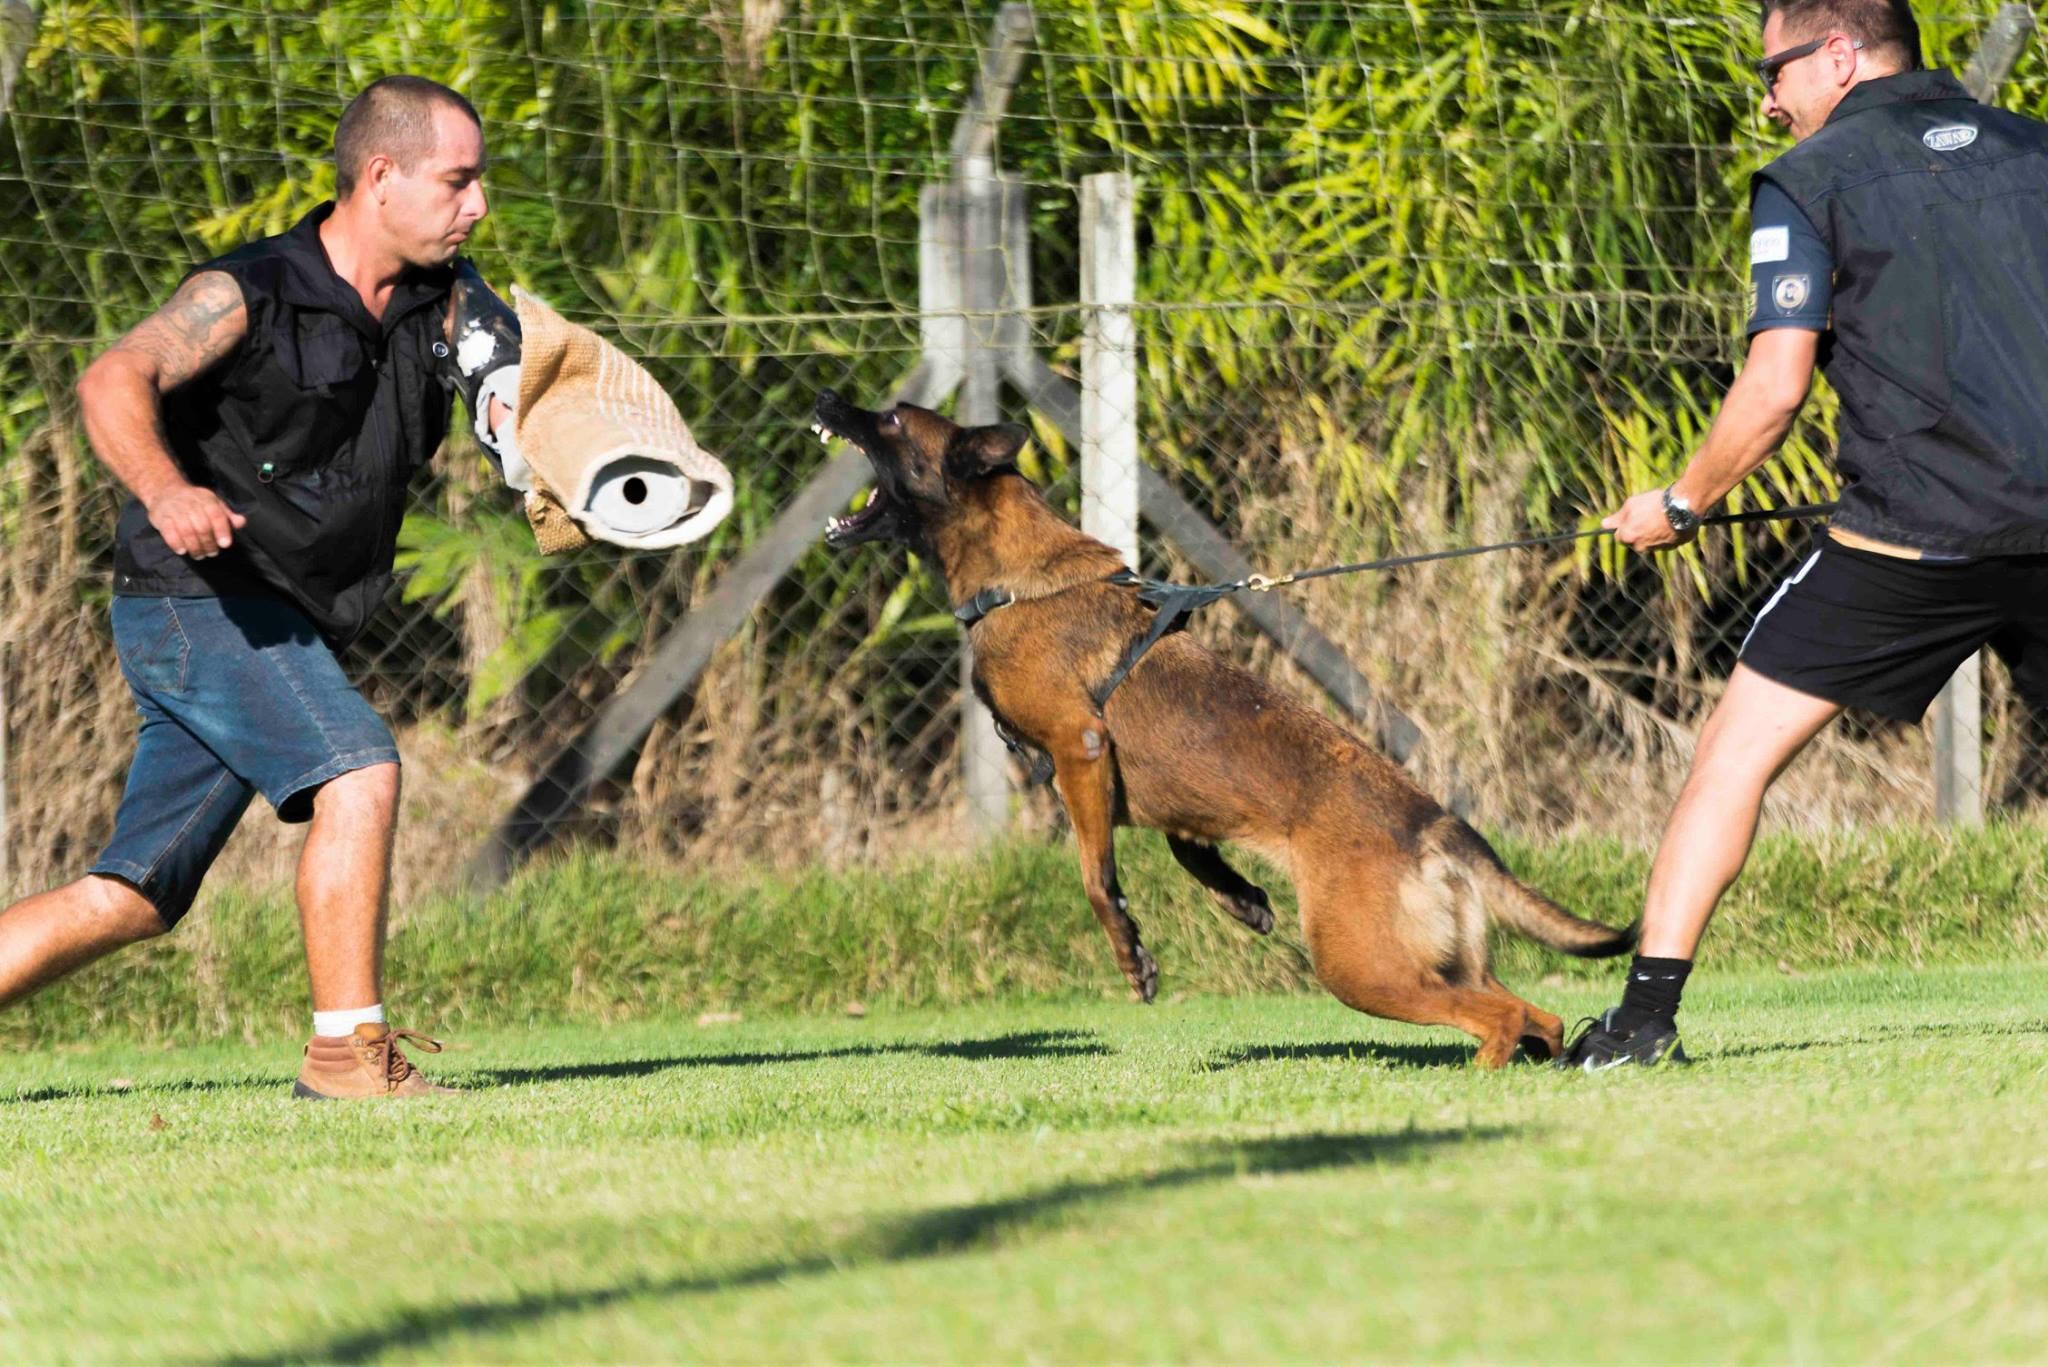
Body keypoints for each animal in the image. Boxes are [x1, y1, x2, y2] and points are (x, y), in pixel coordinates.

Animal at [815, 389, 1630, 1065]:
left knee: (1498, 1017)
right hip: (1437, 961)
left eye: (892, 420)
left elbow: (1095, 877)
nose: (826, 397)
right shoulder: (1164, 798)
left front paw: (1133, 955)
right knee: (1539, 1014)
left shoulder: (1082, 748)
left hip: (1361, 966)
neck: (1018, 581)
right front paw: (1241, 900)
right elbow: (1190, 851)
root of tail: (1437, 826)